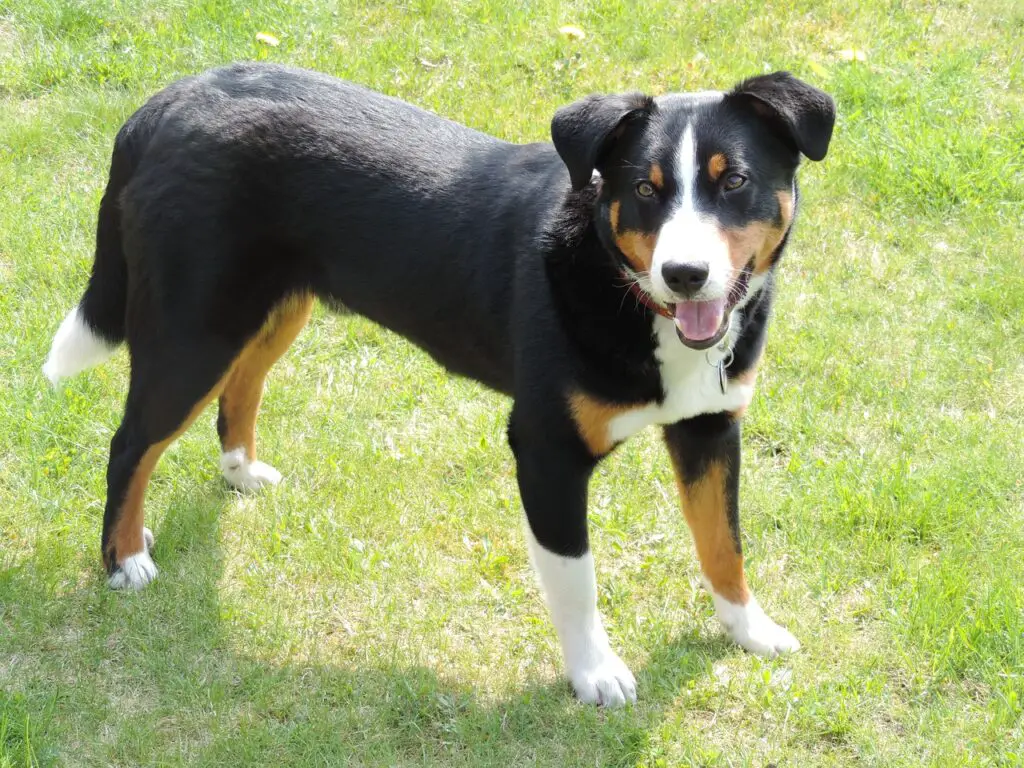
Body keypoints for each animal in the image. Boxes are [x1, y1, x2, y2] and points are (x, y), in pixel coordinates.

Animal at [44, 63, 835, 708]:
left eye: (734, 181)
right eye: (646, 189)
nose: (686, 274)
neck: (624, 290)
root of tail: (166, 103)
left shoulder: (709, 426)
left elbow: (724, 544)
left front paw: (749, 629)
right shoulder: (546, 451)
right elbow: (576, 581)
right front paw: (595, 673)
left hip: (270, 309)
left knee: (240, 387)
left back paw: (240, 471)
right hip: (192, 334)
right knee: (131, 444)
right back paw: (126, 558)